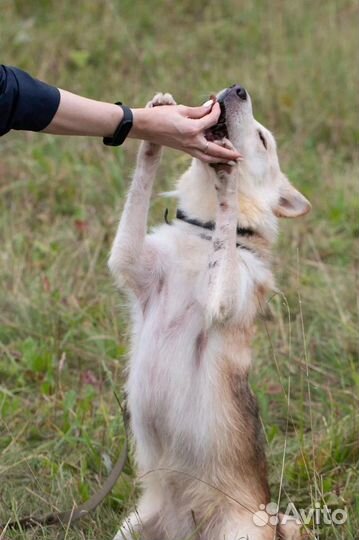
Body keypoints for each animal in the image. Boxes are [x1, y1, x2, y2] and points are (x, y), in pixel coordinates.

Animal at [108, 86, 310, 540]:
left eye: (263, 139)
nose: (236, 89)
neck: (200, 235)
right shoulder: (129, 262)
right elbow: (141, 185)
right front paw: (155, 127)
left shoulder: (224, 299)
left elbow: (228, 225)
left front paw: (228, 182)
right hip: (131, 527)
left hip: (239, 532)